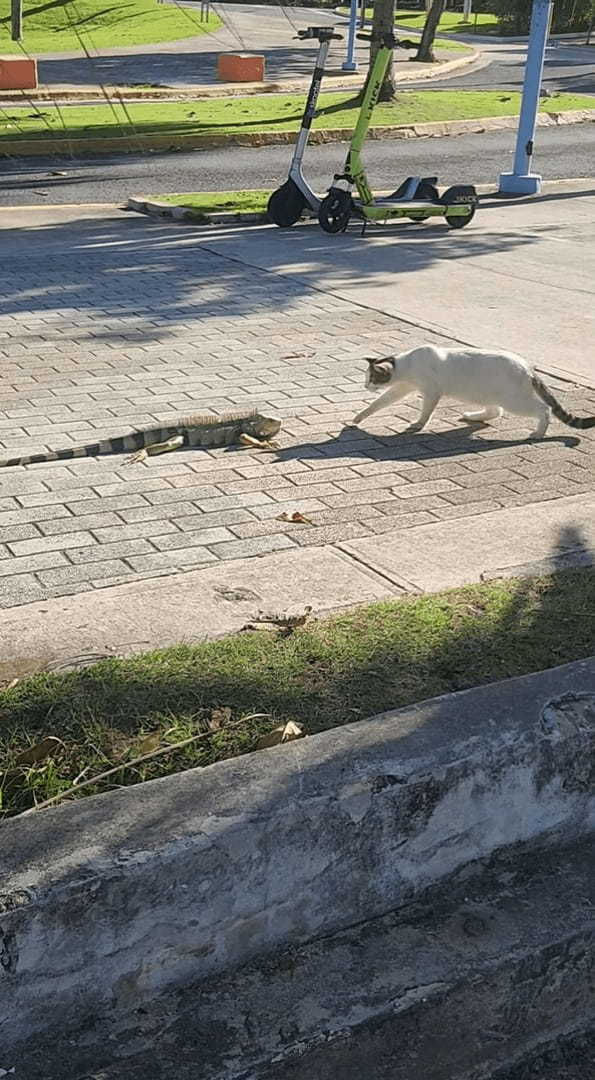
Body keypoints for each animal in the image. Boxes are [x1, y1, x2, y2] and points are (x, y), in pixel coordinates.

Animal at [352, 345, 591, 438]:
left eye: (371, 378)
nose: (365, 386)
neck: (407, 364)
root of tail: (528, 367)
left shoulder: (431, 392)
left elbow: (426, 412)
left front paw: (418, 424)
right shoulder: (402, 388)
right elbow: (378, 403)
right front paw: (358, 418)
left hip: (514, 400)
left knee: (543, 409)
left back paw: (539, 432)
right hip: (490, 394)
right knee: (495, 411)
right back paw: (474, 416)